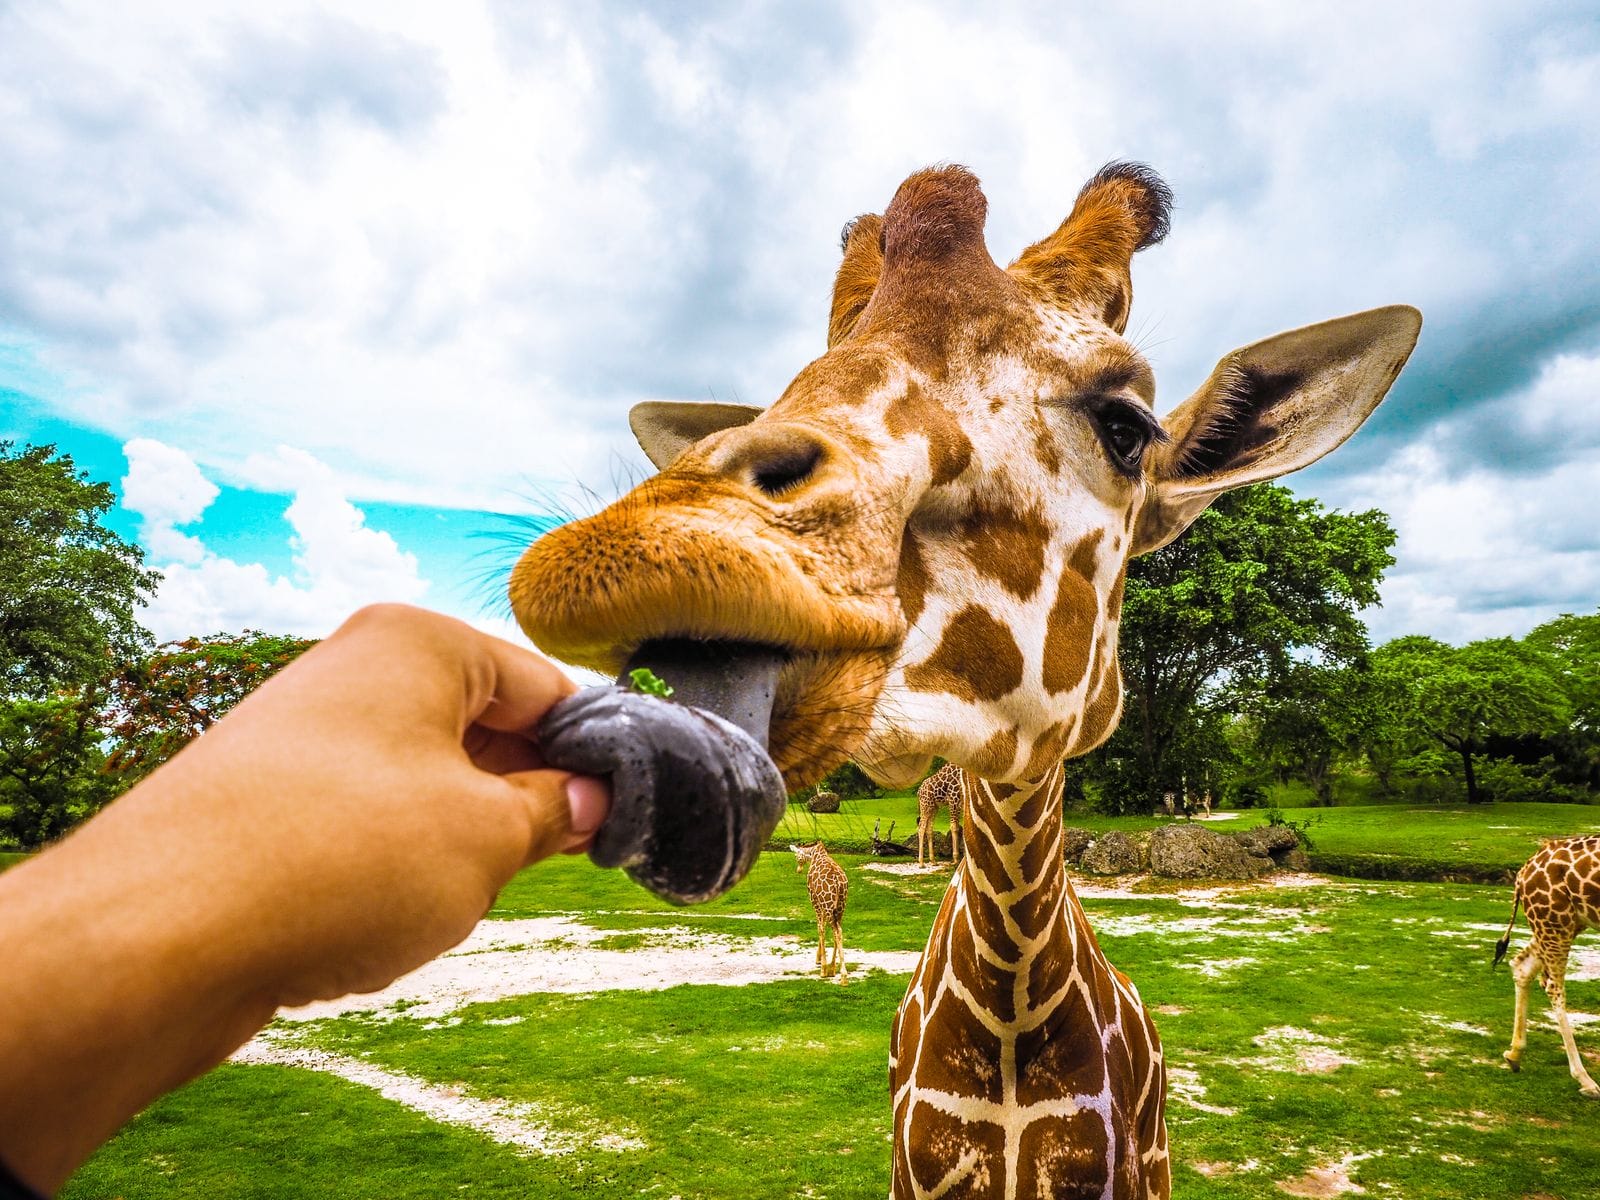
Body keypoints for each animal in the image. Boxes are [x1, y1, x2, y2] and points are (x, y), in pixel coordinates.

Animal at [792, 841, 850, 979]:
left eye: (796, 856)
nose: (798, 870)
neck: (814, 853)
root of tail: (838, 882)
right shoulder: (823, 904)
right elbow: (823, 925)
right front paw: (819, 959)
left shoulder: (814, 899)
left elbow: (820, 927)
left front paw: (822, 966)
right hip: (840, 906)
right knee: (839, 931)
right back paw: (834, 969)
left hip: (828, 904)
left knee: (834, 930)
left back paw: (839, 974)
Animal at [1494, 834, 1600, 1098]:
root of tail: (1522, 873)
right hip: (1555, 919)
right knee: (1554, 986)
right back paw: (1586, 1080)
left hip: (1567, 921)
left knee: (1522, 965)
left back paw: (1514, 1055)